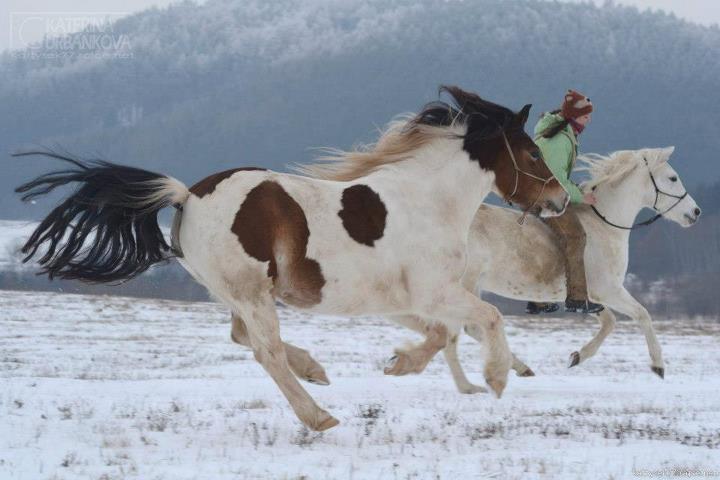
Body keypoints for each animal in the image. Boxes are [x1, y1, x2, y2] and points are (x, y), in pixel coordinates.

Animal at [14, 85, 572, 428]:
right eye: (533, 154)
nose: (559, 199)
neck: (428, 202)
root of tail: (187, 195)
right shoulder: (434, 290)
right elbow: (488, 317)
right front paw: (496, 378)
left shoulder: (405, 300)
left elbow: (443, 333)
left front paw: (400, 364)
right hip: (252, 292)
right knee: (266, 353)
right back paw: (317, 415)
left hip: (238, 293)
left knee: (243, 336)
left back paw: (315, 370)